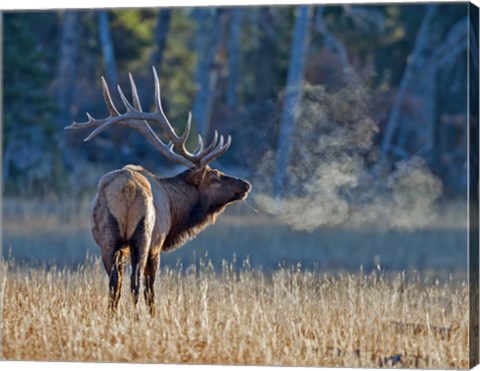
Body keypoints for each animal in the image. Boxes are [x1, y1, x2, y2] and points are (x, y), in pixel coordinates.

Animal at [65, 68, 251, 316]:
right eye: (214, 176)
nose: (246, 185)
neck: (175, 210)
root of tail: (127, 190)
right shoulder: (157, 245)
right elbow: (150, 289)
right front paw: (153, 315)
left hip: (108, 238)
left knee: (115, 283)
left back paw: (112, 316)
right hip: (143, 235)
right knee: (135, 282)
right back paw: (136, 316)